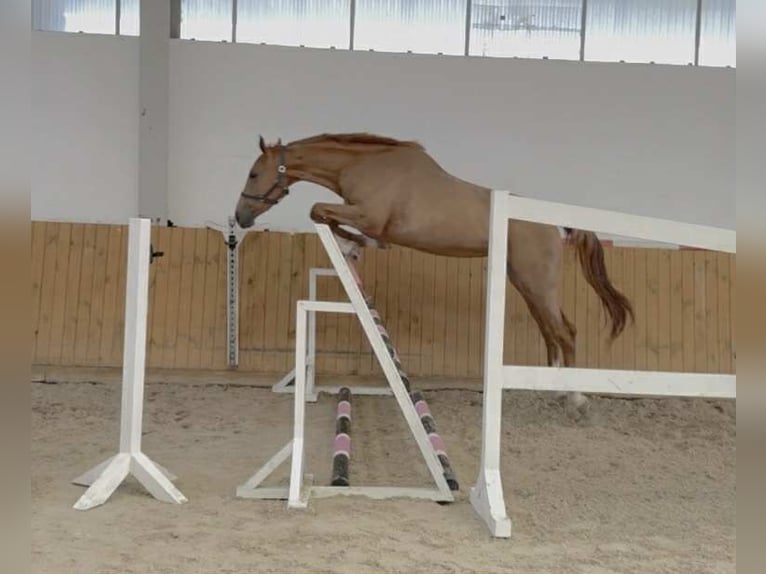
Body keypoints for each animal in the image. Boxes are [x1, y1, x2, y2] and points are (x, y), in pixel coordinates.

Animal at [234, 133, 634, 418]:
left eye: (253, 173)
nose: (241, 217)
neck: (366, 166)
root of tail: (554, 223)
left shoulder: (368, 215)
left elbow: (320, 211)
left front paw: (355, 244)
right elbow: (326, 217)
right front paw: (355, 247)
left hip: (536, 281)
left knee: (565, 332)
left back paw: (576, 399)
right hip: (523, 282)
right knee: (551, 333)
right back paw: (554, 389)